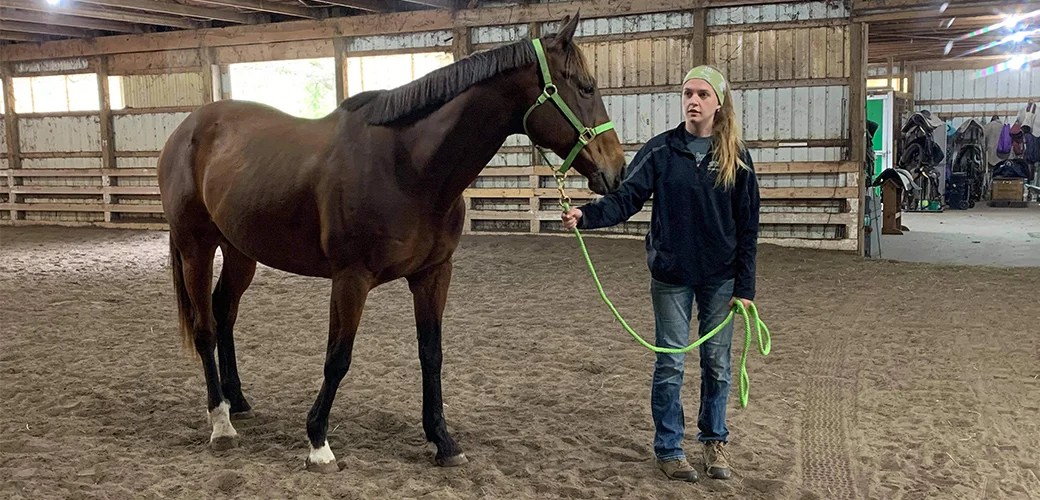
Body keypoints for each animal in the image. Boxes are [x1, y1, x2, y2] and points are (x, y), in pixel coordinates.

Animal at [156, 12, 627, 472]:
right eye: (586, 87)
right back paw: (221, 423)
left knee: (224, 313)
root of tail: (186, 130)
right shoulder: (350, 279)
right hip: (196, 246)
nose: (618, 170)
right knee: (204, 327)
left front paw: (443, 440)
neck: (408, 167)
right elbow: (338, 357)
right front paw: (318, 442)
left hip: (241, 252)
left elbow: (431, 353)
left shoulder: (433, 274)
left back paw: (237, 400)